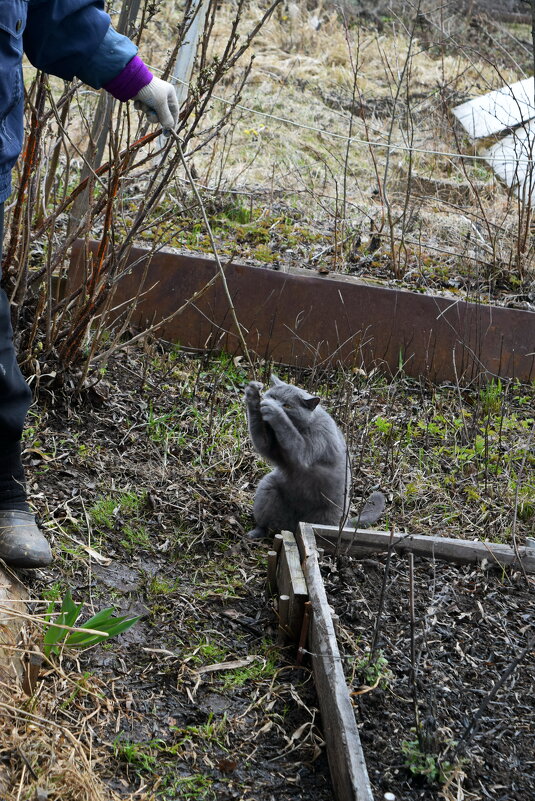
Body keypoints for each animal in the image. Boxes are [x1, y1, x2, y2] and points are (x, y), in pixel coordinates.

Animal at [247, 374, 386, 536]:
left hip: (326, 516)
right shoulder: (272, 447)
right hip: (268, 486)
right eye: (273, 396)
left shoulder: (315, 441)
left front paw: (274, 411)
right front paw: (252, 394)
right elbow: (263, 444)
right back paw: (256, 533)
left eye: (287, 406)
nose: (271, 402)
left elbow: (293, 439)